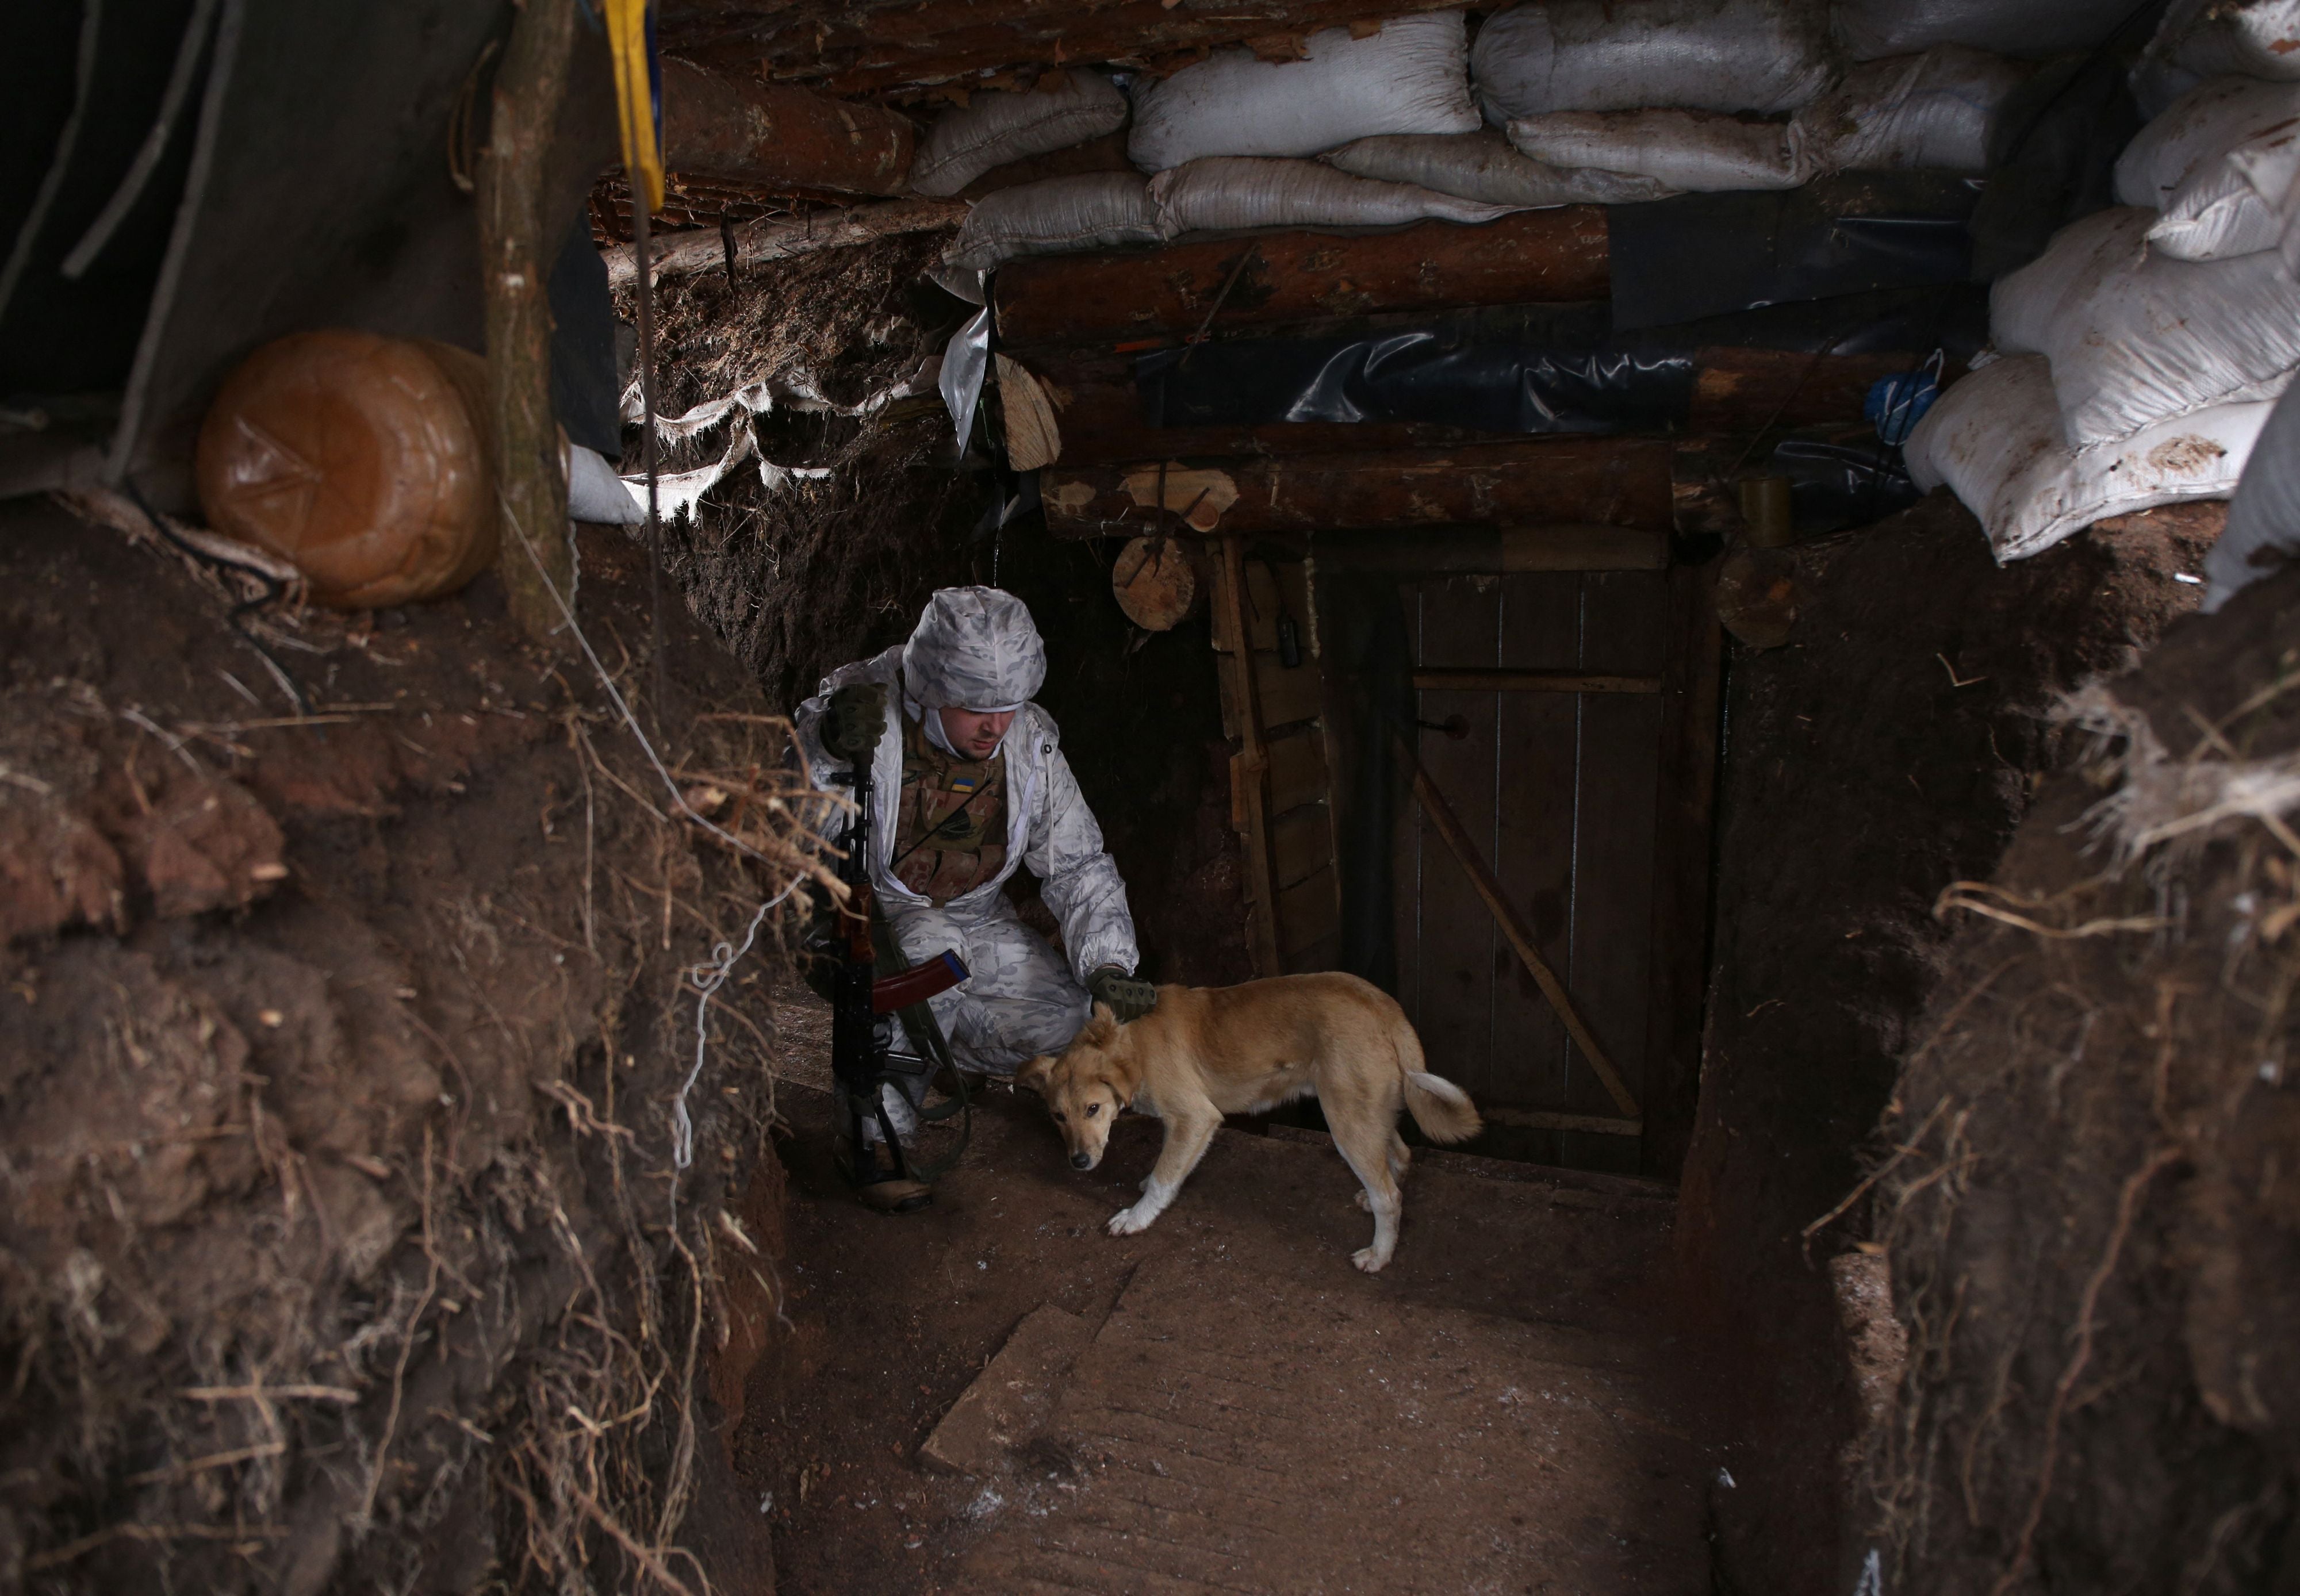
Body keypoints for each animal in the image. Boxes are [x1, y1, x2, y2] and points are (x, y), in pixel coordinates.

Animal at [1017, 975, 1481, 1279]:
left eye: (1093, 1109)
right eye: (1058, 1116)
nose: (1078, 1162)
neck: (1128, 1044)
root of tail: (1386, 1007)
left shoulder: (1196, 1117)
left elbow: (1166, 1178)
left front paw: (1137, 1216)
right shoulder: (1180, 1123)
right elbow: (1168, 1161)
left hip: (1346, 1122)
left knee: (1391, 1197)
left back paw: (1379, 1254)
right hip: (1368, 1114)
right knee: (1399, 1156)